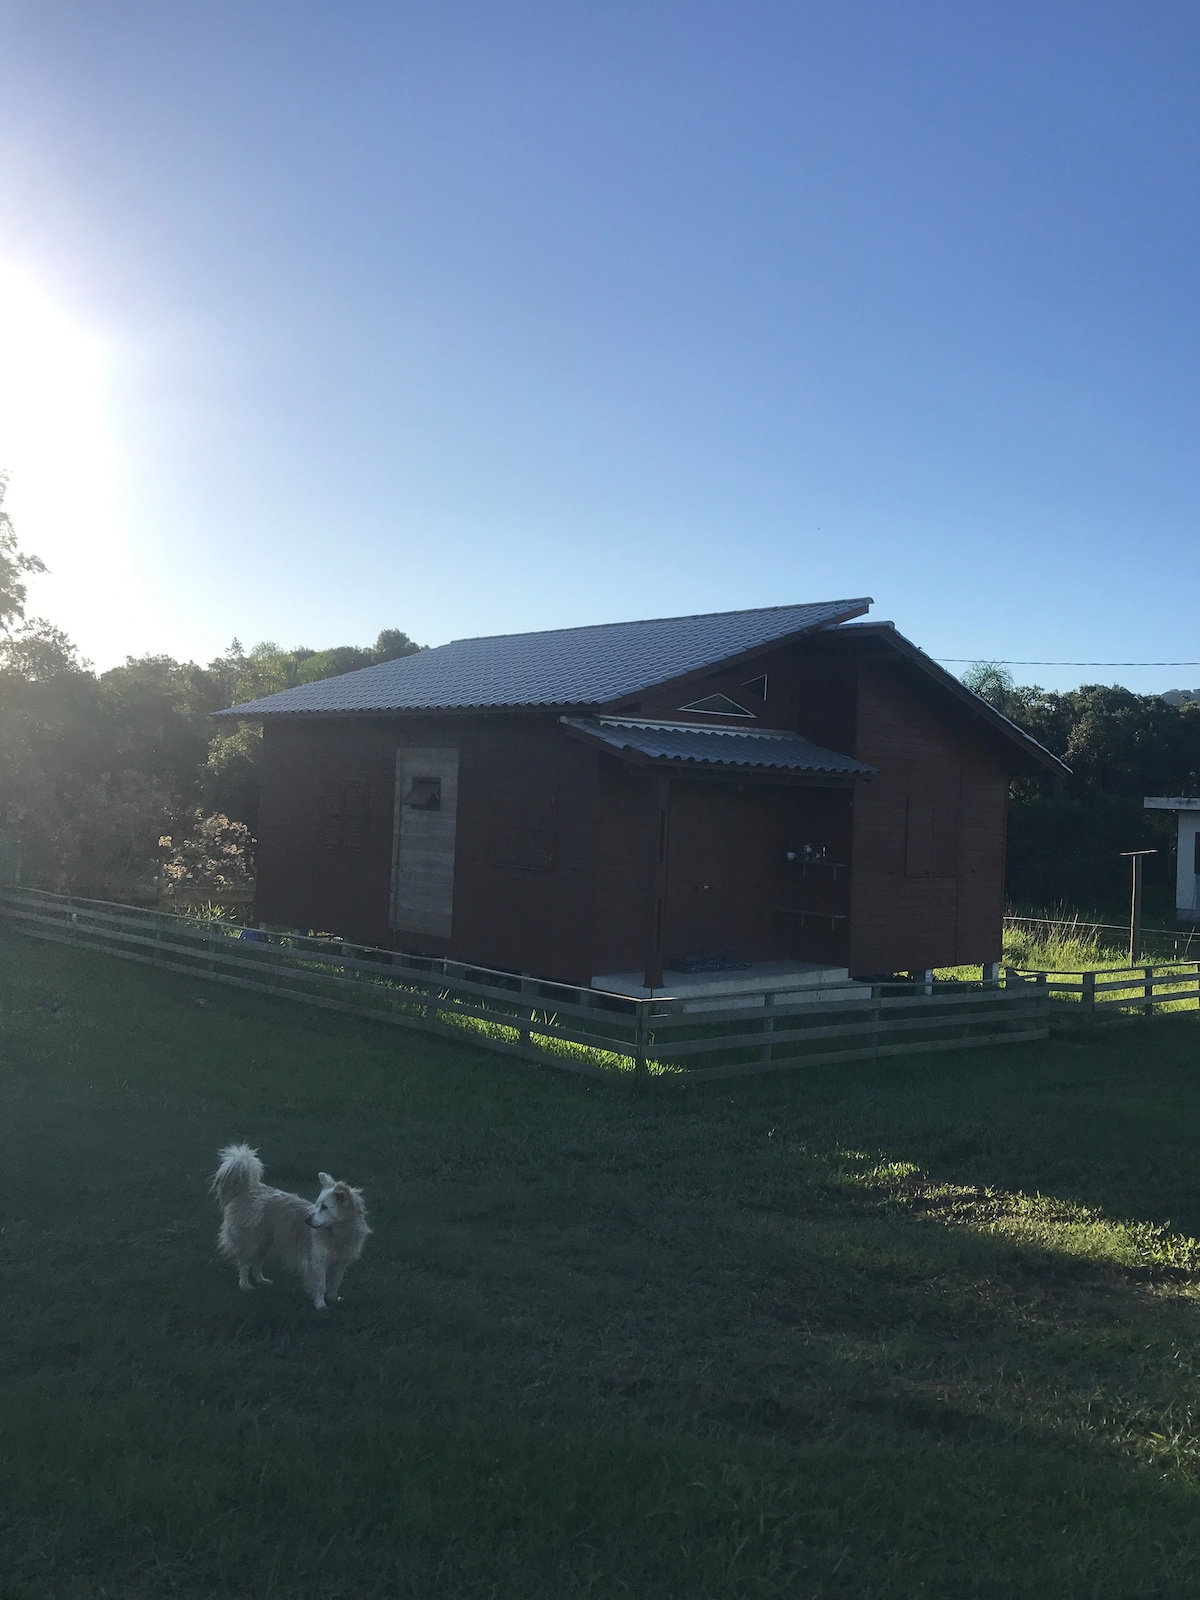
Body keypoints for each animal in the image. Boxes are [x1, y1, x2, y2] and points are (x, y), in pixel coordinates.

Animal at [212, 1145, 371, 1305]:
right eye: (317, 1204)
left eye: (324, 1207)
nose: (307, 1220)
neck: (337, 1232)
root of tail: (248, 1189)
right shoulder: (318, 1262)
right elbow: (321, 1285)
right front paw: (321, 1305)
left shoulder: (342, 1262)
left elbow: (335, 1283)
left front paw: (333, 1298)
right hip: (252, 1240)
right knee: (245, 1263)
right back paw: (245, 1285)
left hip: (265, 1241)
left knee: (257, 1262)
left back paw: (261, 1280)